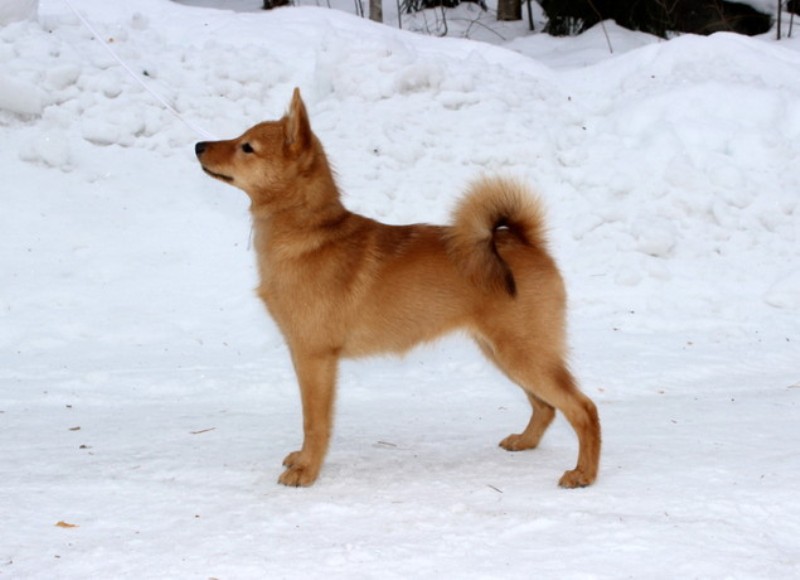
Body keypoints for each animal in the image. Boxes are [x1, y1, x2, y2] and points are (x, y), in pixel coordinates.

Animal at [195, 89, 601, 488]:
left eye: (247, 147)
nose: (199, 145)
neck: (310, 235)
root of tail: (524, 241)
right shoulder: (304, 356)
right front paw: (303, 460)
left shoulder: (315, 358)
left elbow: (315, 423)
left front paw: (307, 471)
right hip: (503, 353)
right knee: (545, 406)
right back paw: (525, 441)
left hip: (524, 353)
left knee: (583, 408)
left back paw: (583, 473)